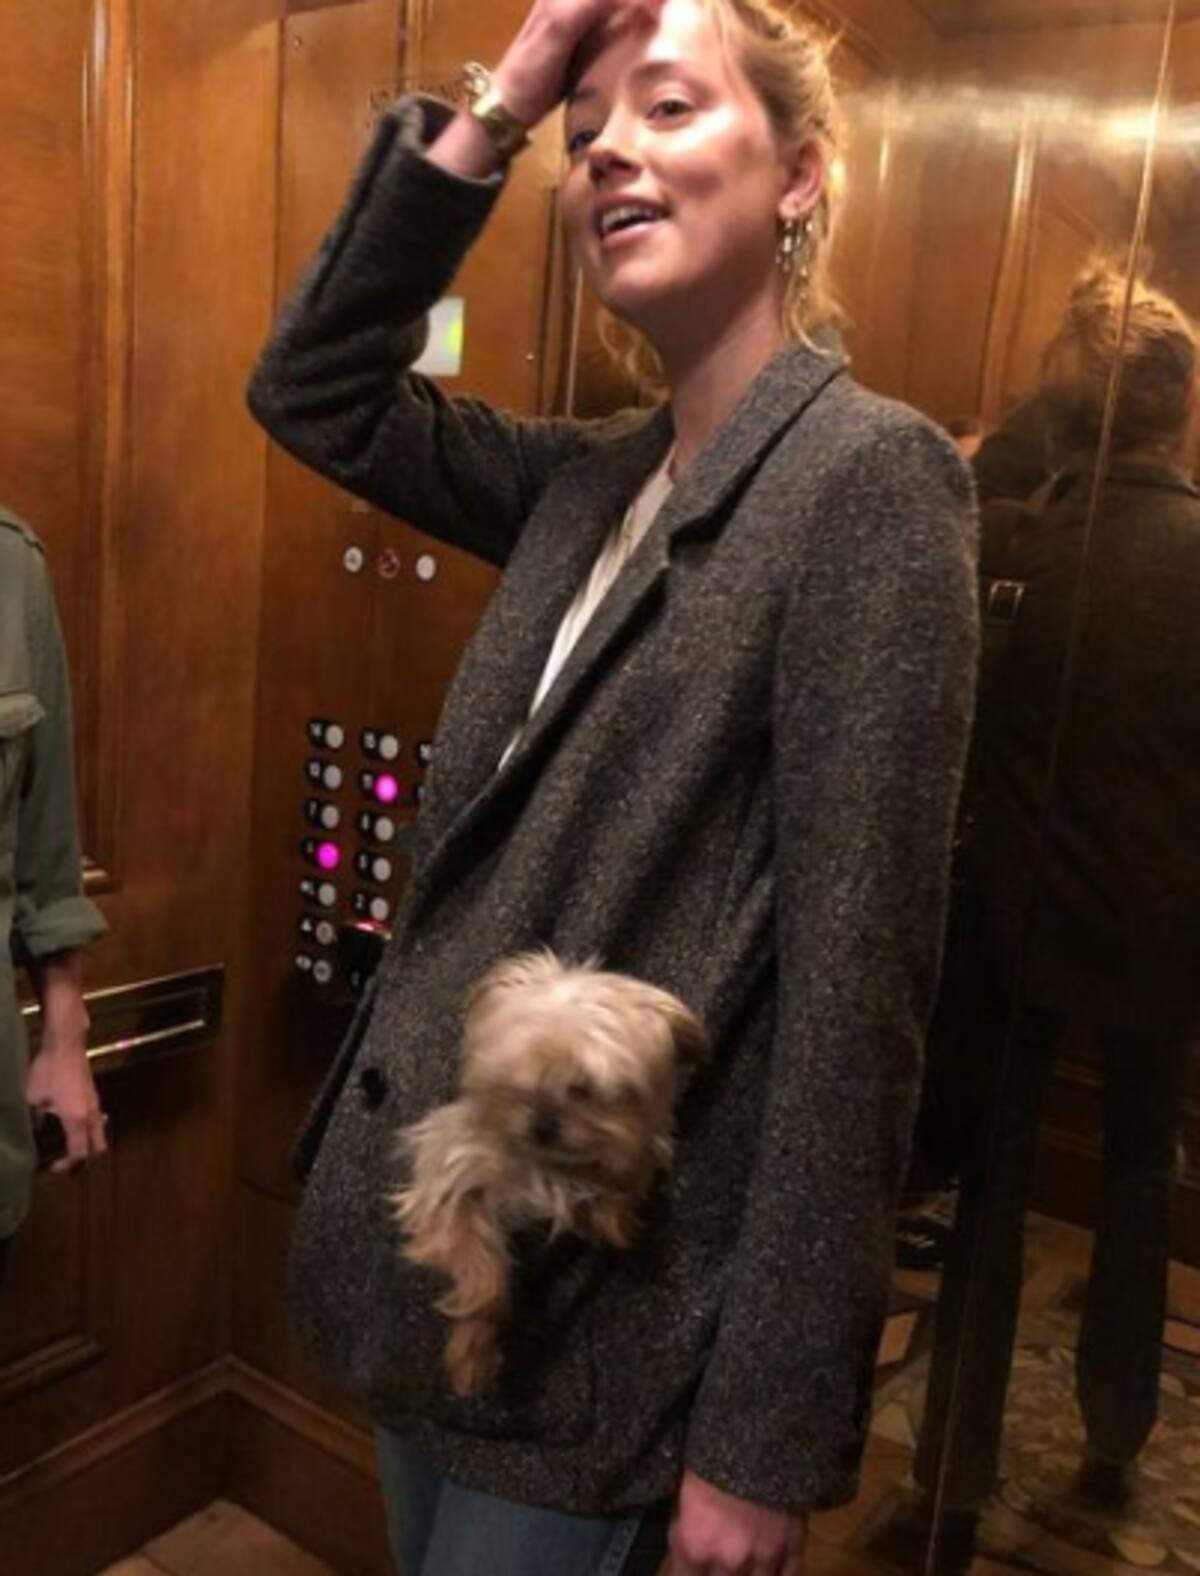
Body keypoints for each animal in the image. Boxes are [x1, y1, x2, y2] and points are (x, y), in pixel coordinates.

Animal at [390, 950, 710, 1397]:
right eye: (515, 1078)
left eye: (584, 1089)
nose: (542, 1123)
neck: (543, 1166)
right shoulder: (448, 1169)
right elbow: (479, 1265)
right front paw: (473, 1350)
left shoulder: (637, 1143)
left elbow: (629, 1171)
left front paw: (612, 1210)